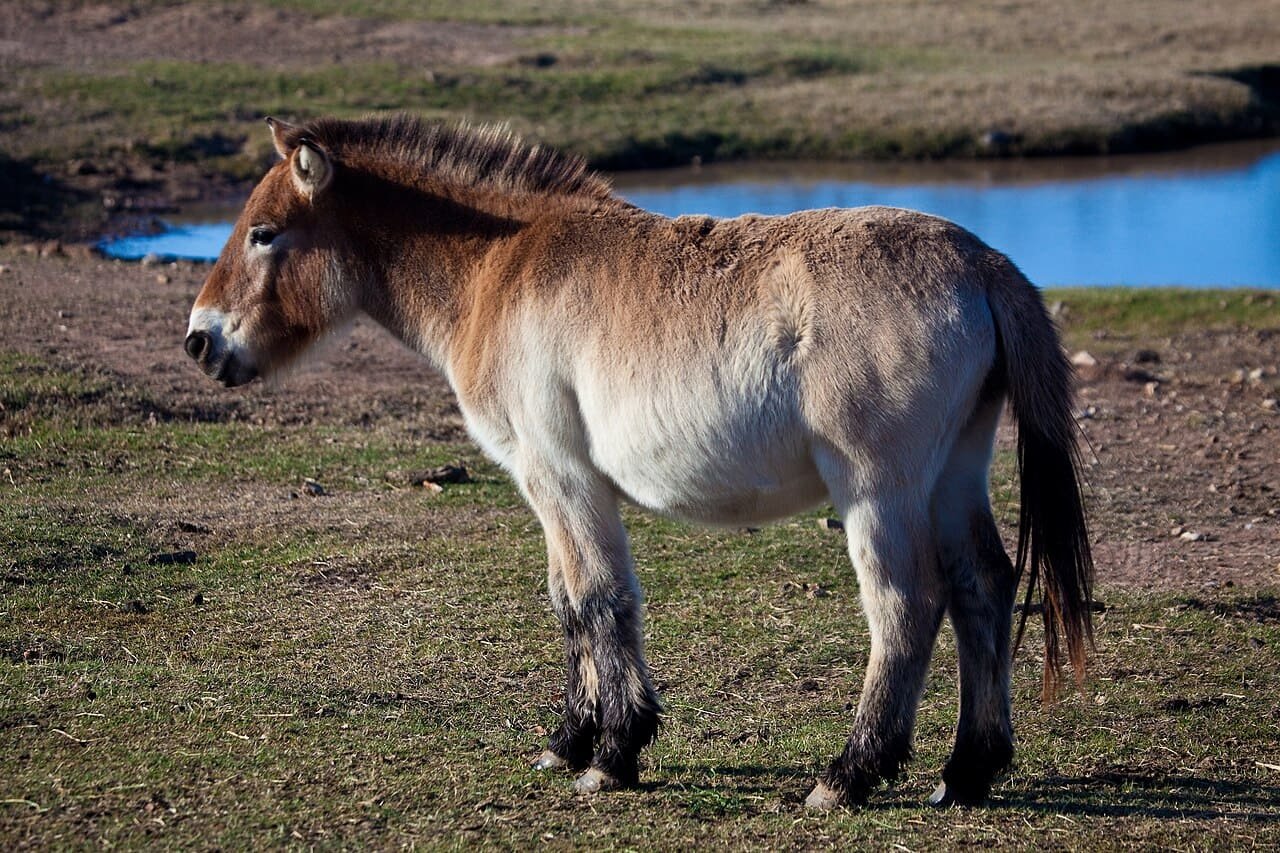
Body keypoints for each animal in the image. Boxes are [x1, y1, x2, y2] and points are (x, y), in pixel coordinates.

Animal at [184, 114, 1093, 809]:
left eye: (264, 234)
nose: (199, 341)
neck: (499, 268)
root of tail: (984, 264)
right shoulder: (550, 483)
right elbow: (568, 601)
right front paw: (569, 739)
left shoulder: (560, 474)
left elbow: (596, 599)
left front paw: (613, 755)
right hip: (953, 474)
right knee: (983, 587)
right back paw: (966, 773)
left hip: (879, 490)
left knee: (906, 608)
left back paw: (847, 776)